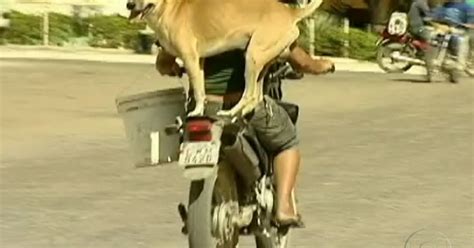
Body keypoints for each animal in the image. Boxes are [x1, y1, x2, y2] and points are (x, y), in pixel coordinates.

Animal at [126, 0, 322, 117]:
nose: (129, 4)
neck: (169, 8)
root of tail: (290, 12)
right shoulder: (199, 62)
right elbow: (201, 88)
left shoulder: (190, 59)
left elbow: (198, 91)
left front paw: (197, 111)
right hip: (263, 62)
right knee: (257, 97)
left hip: (252, 57)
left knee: (249, 95)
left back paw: (230, 113)